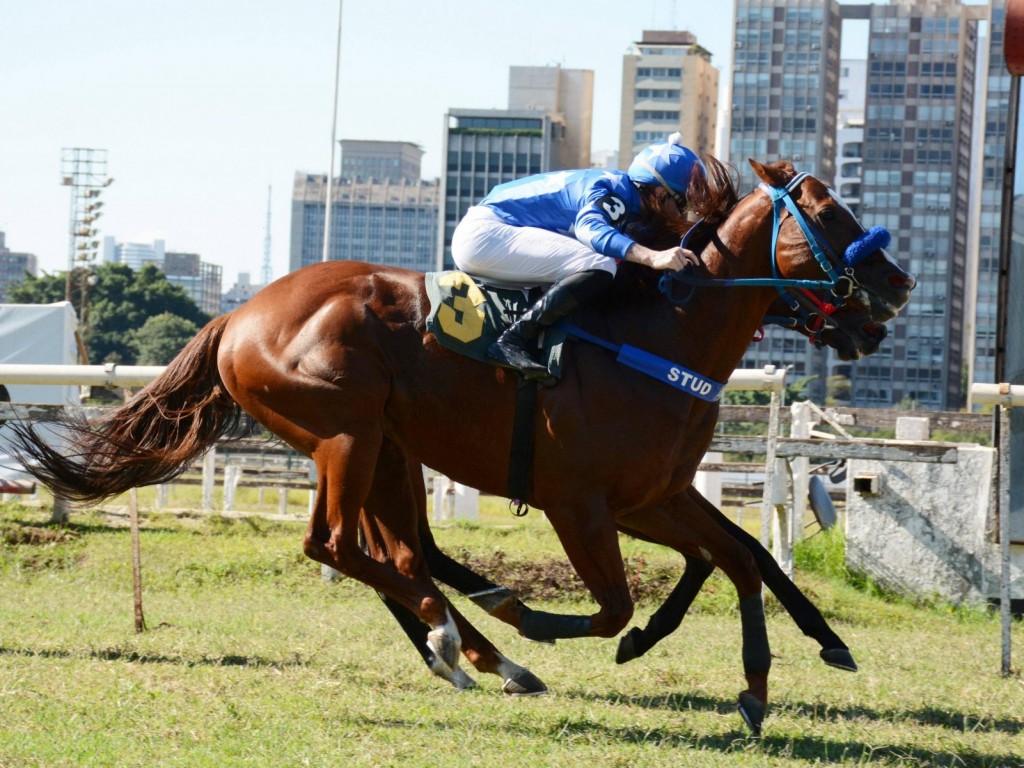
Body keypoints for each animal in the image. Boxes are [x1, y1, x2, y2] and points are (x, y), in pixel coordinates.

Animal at [8, 156, 917, 733]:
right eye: (827, 212)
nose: (898, 286)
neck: (657, 331)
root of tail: (239, 313)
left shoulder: (652, 495)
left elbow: (738, 557)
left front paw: (763, 684)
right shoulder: (581, 504)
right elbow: (621, 602)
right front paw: (537, 617)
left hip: (386, 448)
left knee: (402, 554)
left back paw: (475, 648)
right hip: (346, 433)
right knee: (340, 545)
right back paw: (467, 641)